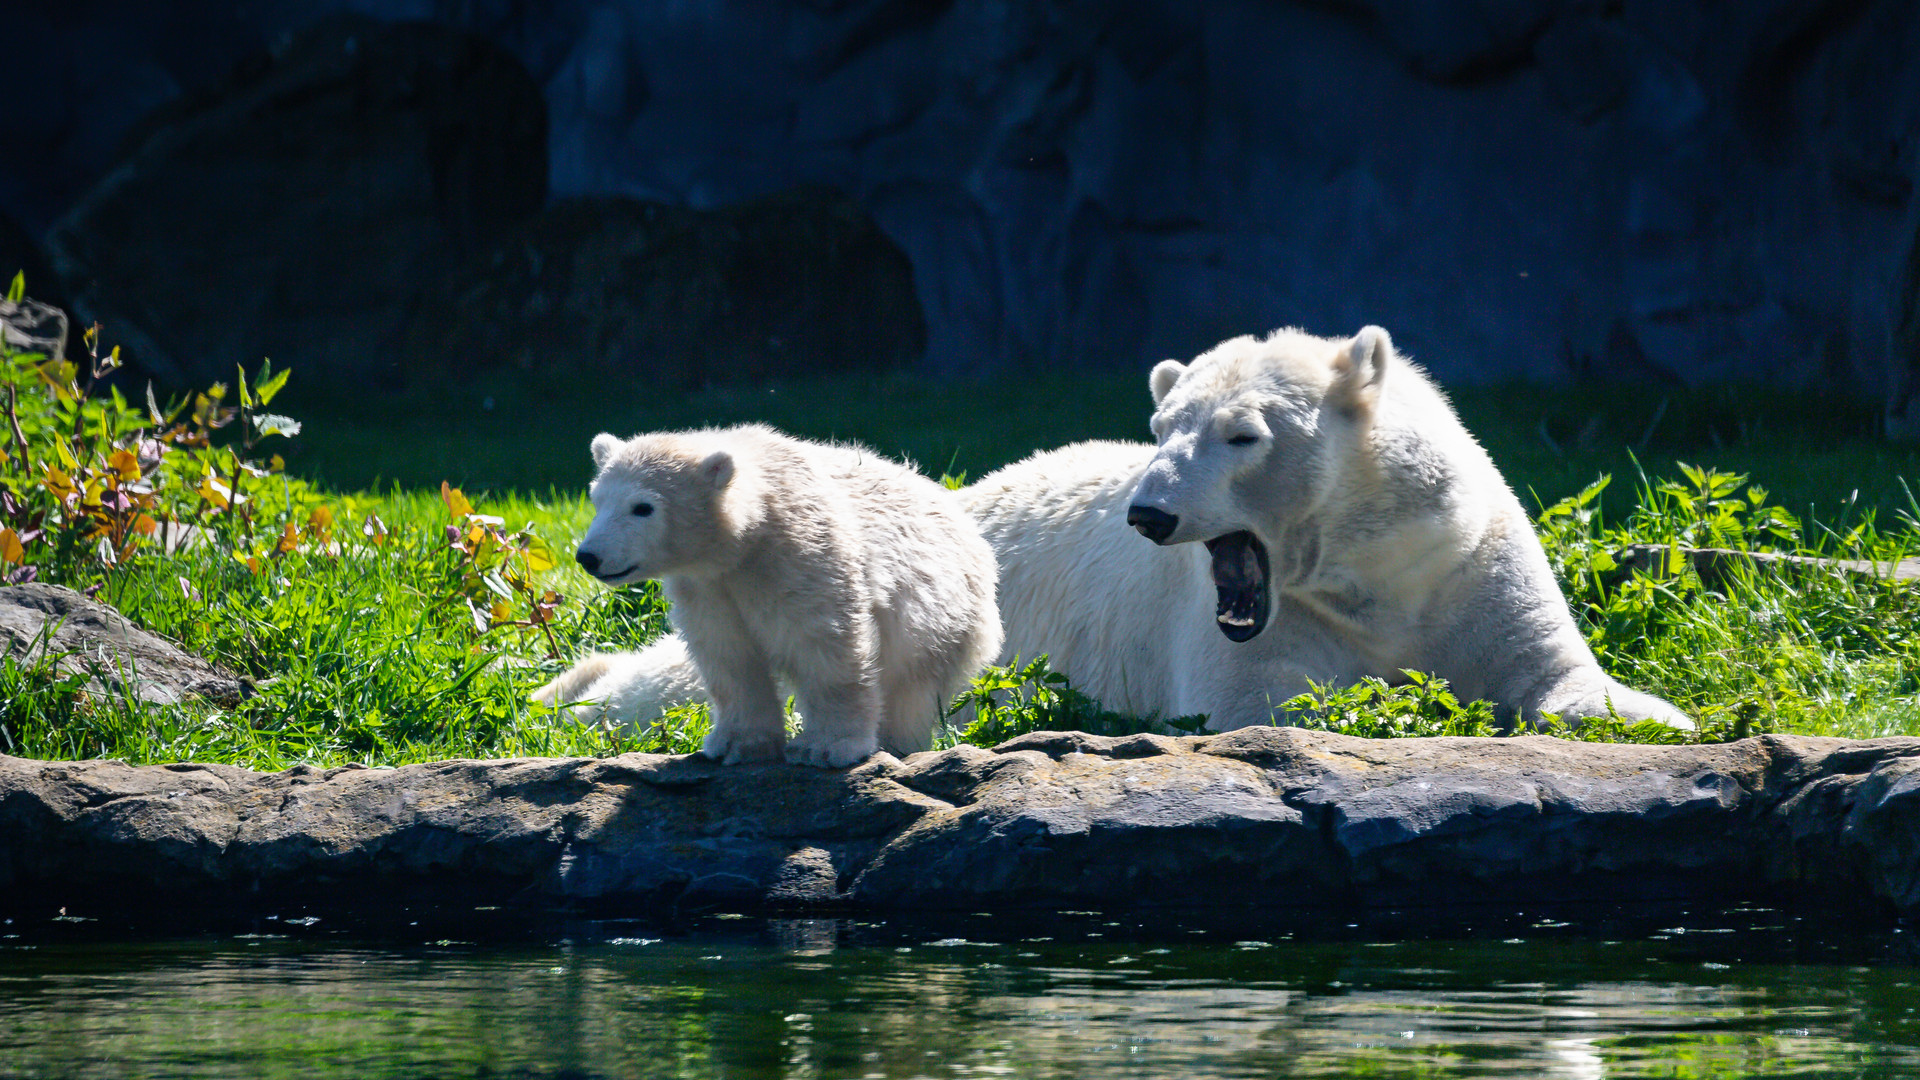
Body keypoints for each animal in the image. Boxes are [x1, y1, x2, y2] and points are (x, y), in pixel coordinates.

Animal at [549, 322, 1689, 726]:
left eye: (1241, 433)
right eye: (1162, 425)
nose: (1147, 509)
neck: (1378, 574)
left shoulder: (1466, 560)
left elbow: (1558, 674)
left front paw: (1651, 718)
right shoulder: (1247, 628)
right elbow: (1269, 705)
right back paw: (578, 696)